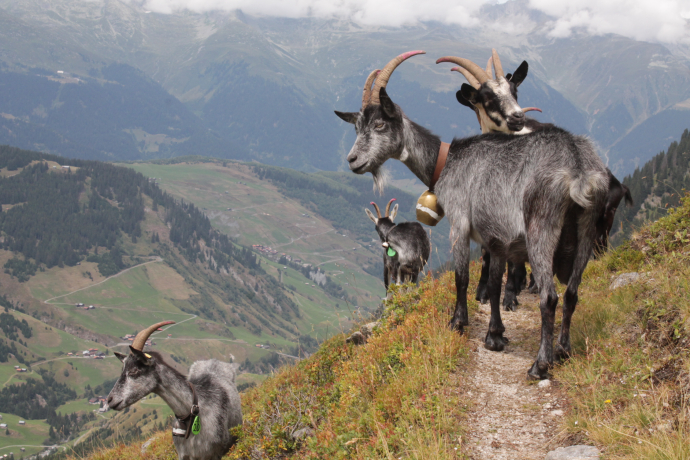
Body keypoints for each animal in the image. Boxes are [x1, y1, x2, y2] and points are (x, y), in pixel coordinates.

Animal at [107, 321, 242, 460]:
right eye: (122, 370)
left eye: (134, 371)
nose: (110, 400)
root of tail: (214, 361)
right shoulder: (183, 455)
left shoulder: (215, 454)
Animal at [335, 50, 609, 379]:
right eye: (356, 127)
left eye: (379, 125)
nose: (353, 160)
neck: (446, 161)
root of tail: (578, 167)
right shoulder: (498, 240)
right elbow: (493, 283)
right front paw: (495, 335)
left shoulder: (460, 223)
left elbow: (462, 277)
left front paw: (457, 322)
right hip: (586, 231)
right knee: (571, 293)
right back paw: (563, 350)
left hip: (541, 228)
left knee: (550, 297)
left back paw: (540, 365)